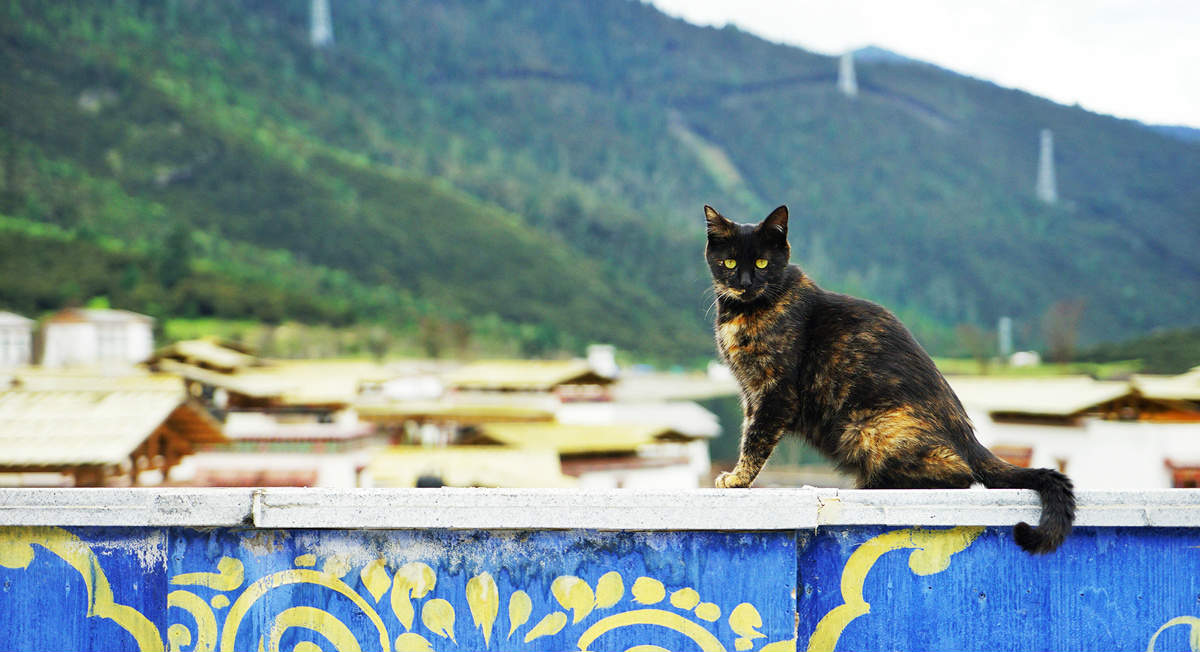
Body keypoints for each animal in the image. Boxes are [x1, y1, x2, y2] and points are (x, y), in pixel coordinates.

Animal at [700, 205, 1080, 557]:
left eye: (762, 263)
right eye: (729, 262)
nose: (745, 283)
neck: (746, 312)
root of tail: (971, 441)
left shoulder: (776, 393)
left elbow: (755, 439)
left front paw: (737, 478)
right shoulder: (752, 395)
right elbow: (748, 432)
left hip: (869, 427)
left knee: (959, 474)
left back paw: (870, 485)